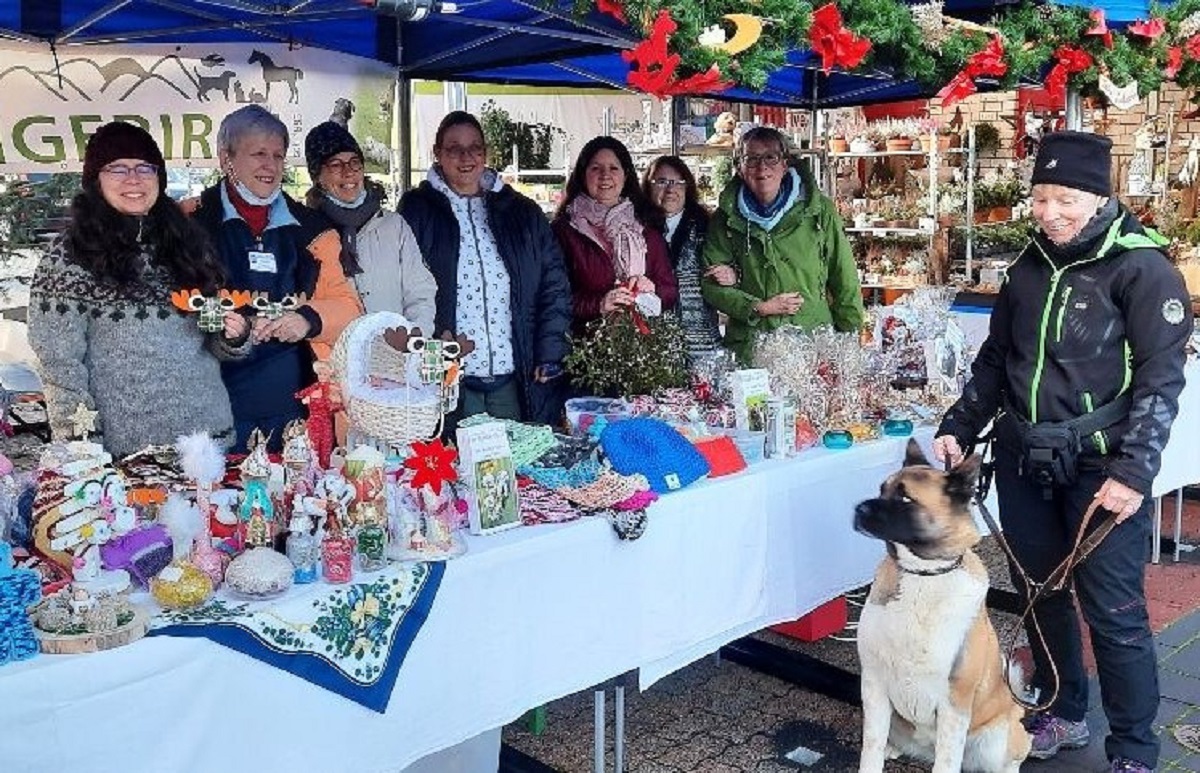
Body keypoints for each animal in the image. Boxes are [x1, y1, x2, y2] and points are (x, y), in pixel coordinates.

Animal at [854, 441, 1032, 773]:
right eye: (881, 489)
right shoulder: (873, 684)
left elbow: (947, 761)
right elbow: (870, 748)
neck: (923, 575)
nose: (857, 510)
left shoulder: (955, 702)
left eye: (905, 497)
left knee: (1018, 751)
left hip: (997, 738)